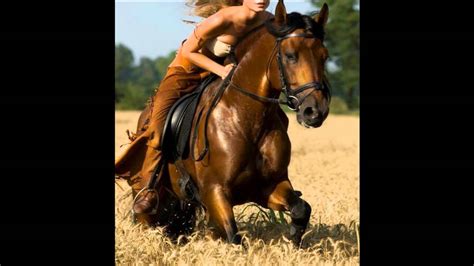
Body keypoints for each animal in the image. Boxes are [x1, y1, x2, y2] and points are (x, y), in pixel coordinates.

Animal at [116, 2, 330, 247]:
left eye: (324, 57)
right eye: (290, 56)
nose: (315, 111)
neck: (246, 119)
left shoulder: (270, 186)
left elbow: (301, 210)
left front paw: (293, 241)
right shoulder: (215, 192)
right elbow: (233, 237)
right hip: (151, 197)